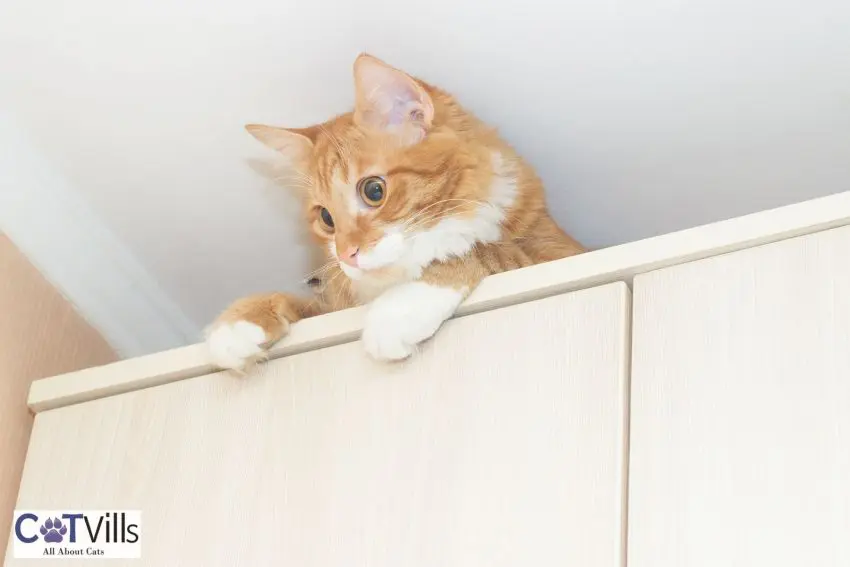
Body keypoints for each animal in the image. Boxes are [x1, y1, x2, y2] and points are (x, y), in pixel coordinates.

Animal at [204, 55, 584, 370]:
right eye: (326, 218)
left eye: (374, 191)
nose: (346, 254)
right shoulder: (335, 308)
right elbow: (302, 305)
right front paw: (239, 322)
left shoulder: (560, 254)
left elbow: (479, 251)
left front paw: (400, 309)